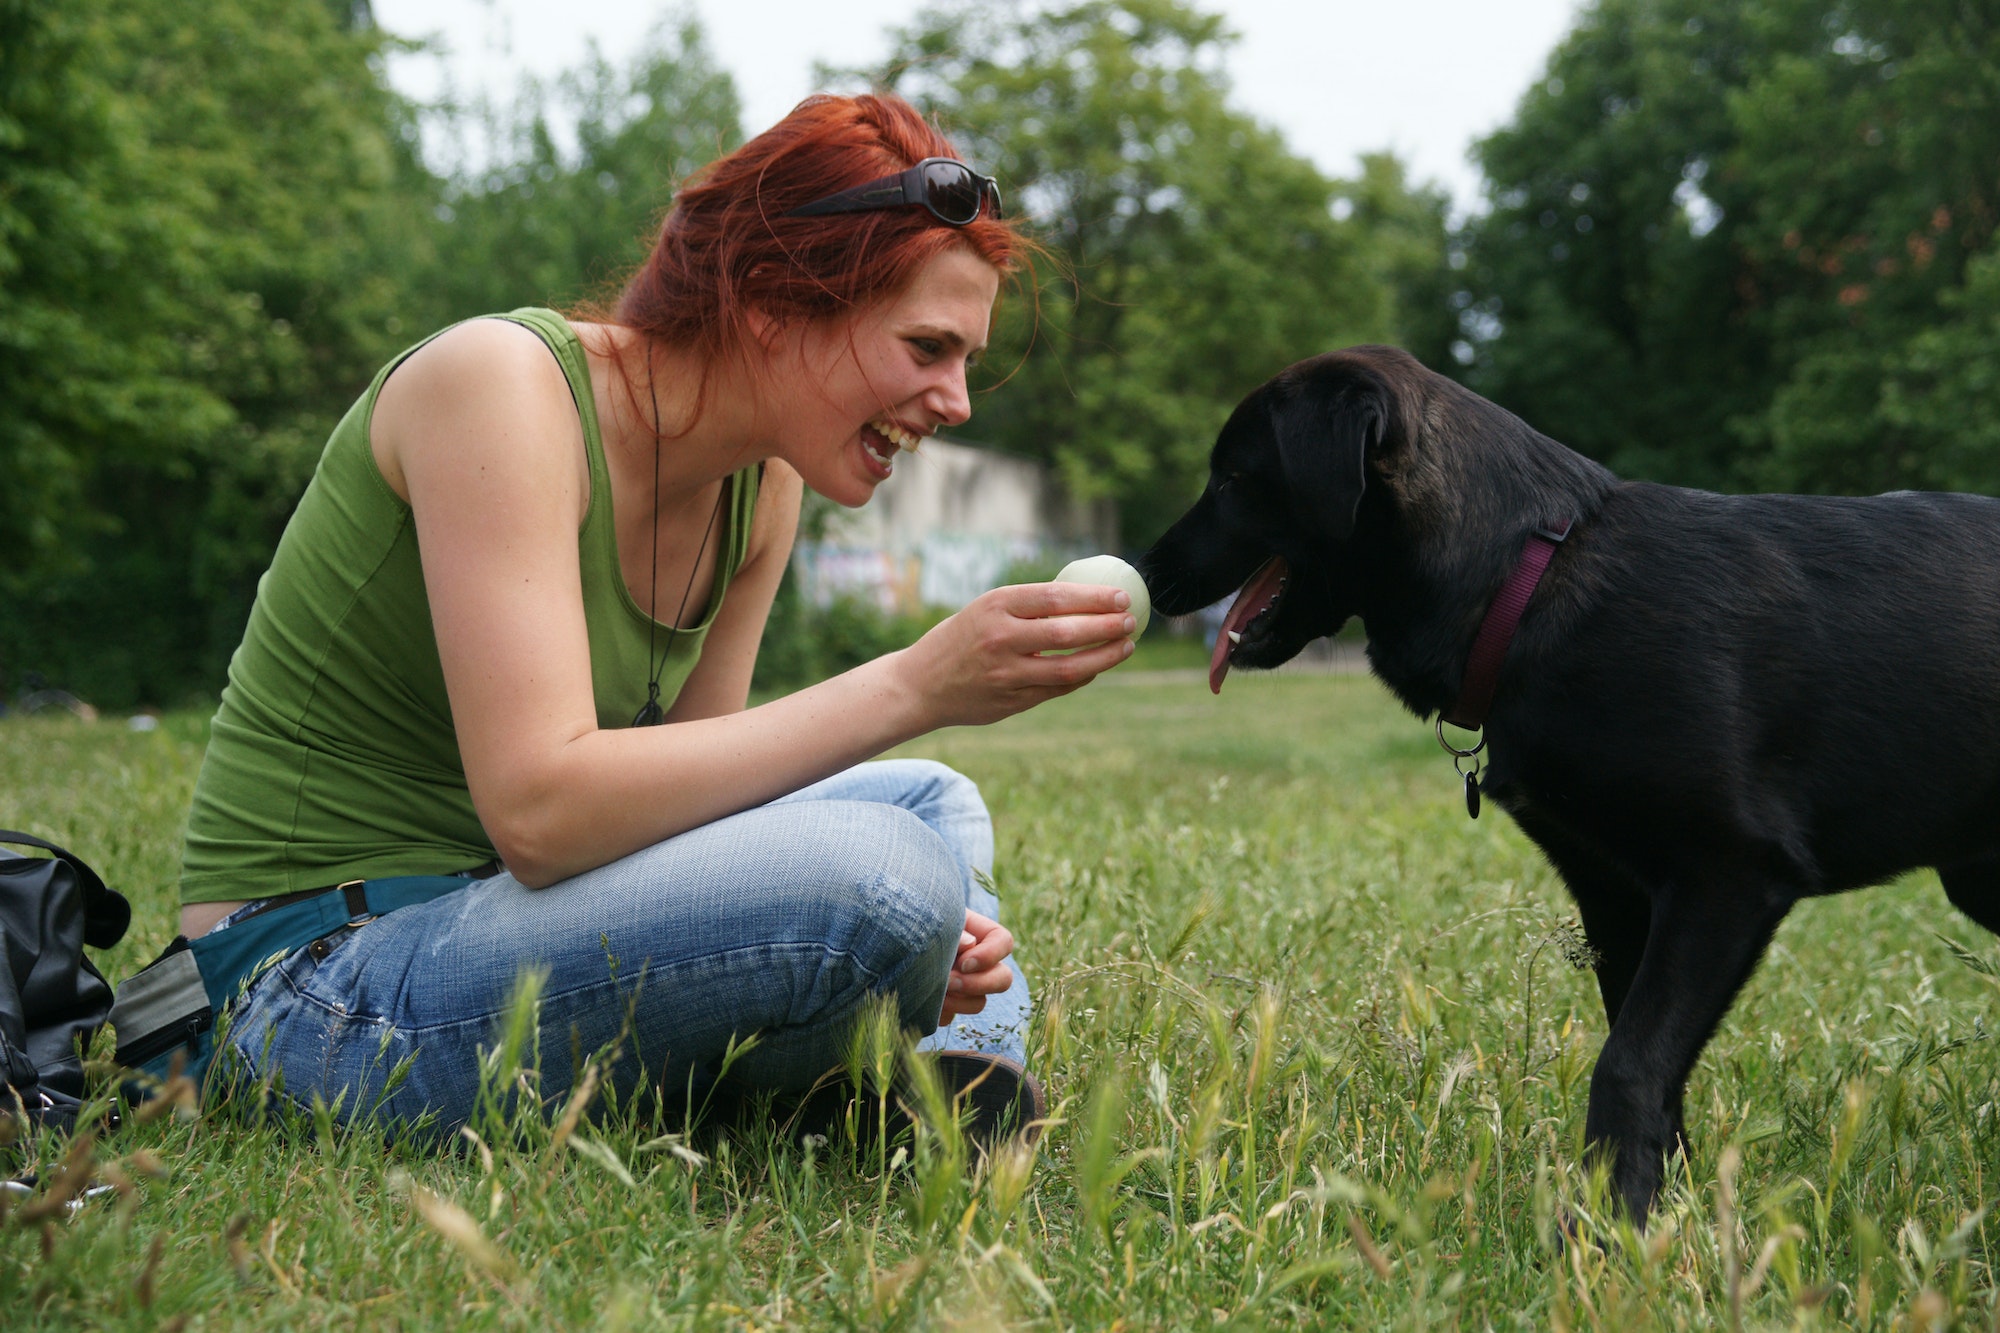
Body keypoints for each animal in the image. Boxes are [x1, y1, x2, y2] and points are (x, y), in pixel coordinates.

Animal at [1136, 348, 2000, 1216]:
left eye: (1232, 478)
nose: (1144, 570)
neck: (1525, 582)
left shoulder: (1728, 875)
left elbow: (1628, 1061)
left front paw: (1606, 1223)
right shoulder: (1616, 895)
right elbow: (1649, 1065)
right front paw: (1655, 1209)